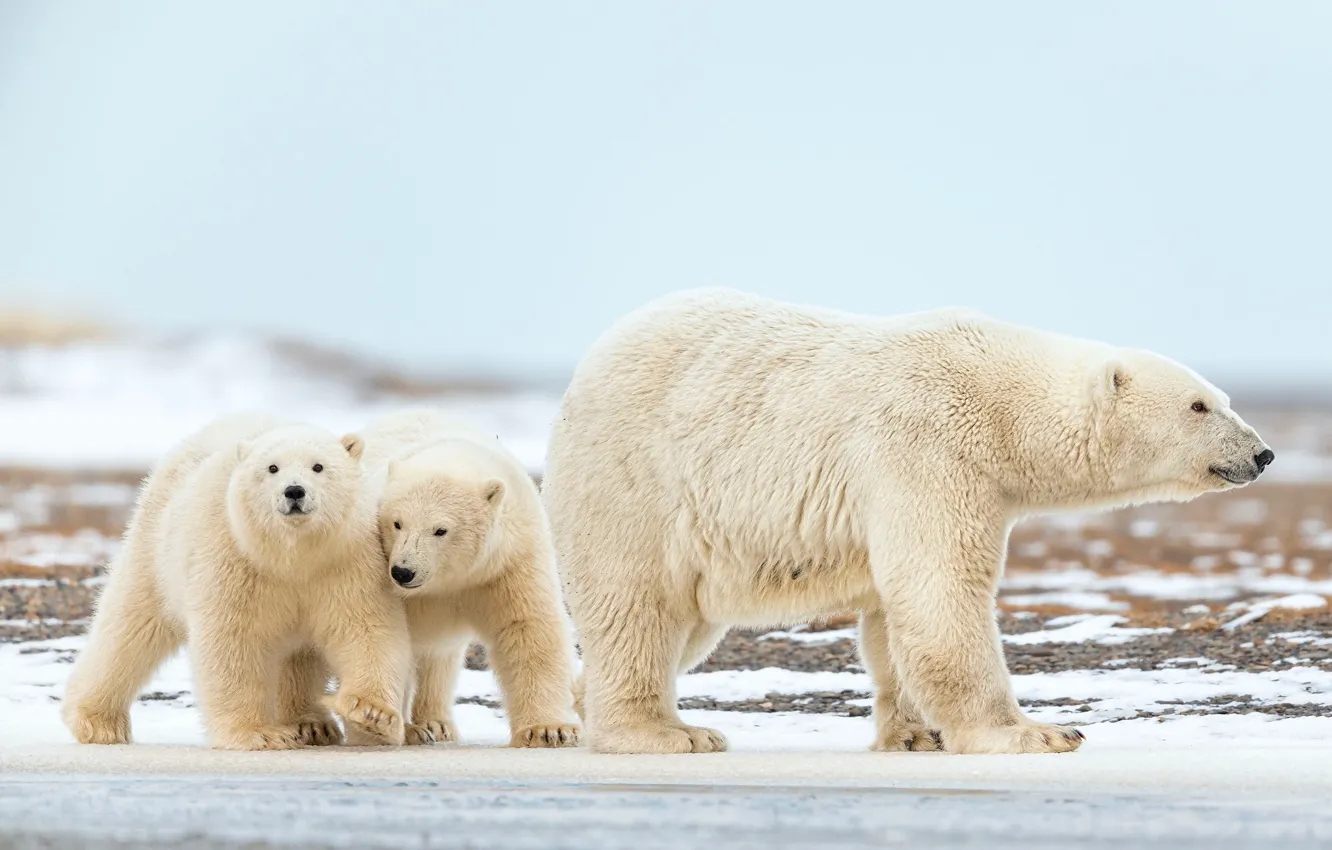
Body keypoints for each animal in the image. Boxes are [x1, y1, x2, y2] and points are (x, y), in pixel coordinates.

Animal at [63, 414, 412, 750]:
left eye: (318, 466)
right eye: (272, 467)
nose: (294, 491)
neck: (292, 556)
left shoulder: (347, 562)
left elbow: (366, 627)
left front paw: (372, 716)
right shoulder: (235, 561)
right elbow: (233, 641)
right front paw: (259, 734)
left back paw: (311, 724)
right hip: (156, 543)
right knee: (129, 627)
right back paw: (97, 722)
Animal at [353, 409, 580, 748]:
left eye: (440, 529)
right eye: (397, 523)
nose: (403, 571)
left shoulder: (506, 563)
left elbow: (527, 627)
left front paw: (548, 730)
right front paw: (384, 725)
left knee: (440, 657)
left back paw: (437, 723)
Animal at [542, 288, 1274, 755]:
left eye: (1223, 398)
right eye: (1200, 405)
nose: (1262, 453)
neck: (1001, 400)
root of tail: (583, 372)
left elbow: (892, 617)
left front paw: (917, 733)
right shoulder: (929, 448)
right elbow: (941, 592)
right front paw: (1039, 731)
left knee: (683, 626)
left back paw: (581, 707)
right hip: (638, 480)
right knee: (638, 607)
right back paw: (669, 733)